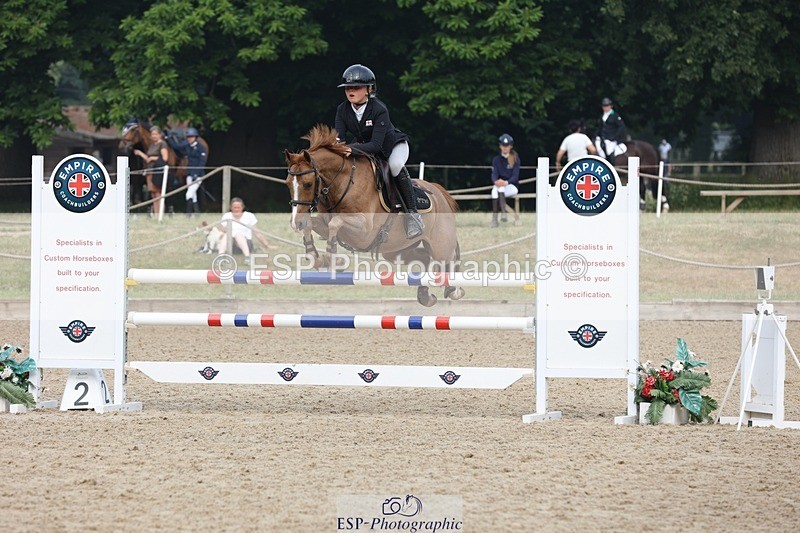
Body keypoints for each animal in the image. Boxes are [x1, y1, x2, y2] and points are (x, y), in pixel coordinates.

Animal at [284, 124, 464, 307]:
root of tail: (439, 193)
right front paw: (318, 258)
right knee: (424, 258)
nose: (295, 223)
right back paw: (425, 295)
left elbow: (335, 222)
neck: (342, 183)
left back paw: (454, 290)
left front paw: (331, 258)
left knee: (448, 261)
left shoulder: (364, 230)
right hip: (396, 249)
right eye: (287, 184)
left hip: (440, 246)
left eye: (308, 184)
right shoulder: (326, 222)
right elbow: (312, 224)